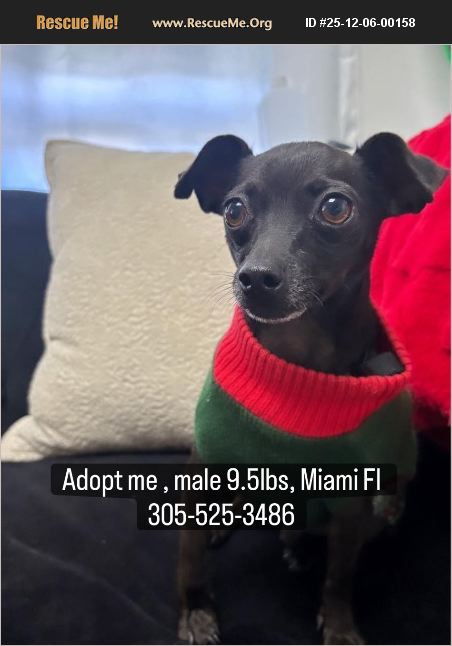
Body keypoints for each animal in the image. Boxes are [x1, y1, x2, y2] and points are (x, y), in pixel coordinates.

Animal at [173, 133, 447, 644]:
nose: (256, 278)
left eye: (335, 207)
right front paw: (196, 610)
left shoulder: (352, 506)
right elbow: (190, 560)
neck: (294, 363)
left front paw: (338, 626)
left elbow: (339, 576)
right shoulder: (203, 469)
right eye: (234, 210)